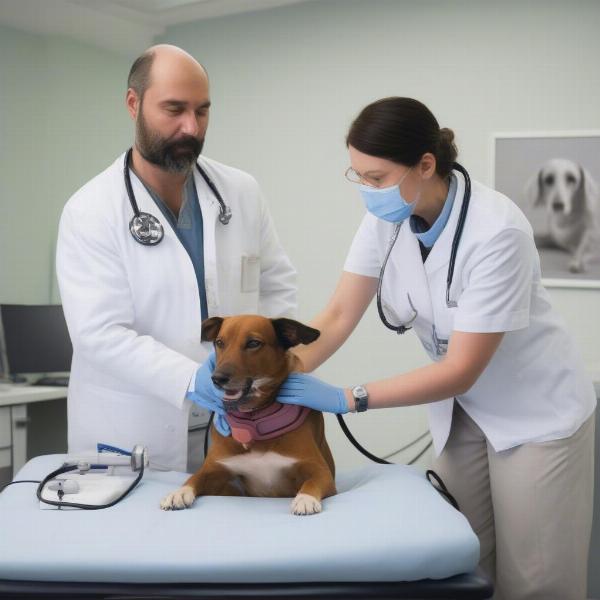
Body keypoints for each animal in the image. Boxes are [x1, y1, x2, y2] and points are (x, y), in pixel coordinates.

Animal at [161, 314, 338, 516]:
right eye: (219, 342)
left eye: (253, 343)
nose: (217, 378)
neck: (254, 419)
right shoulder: (215, 470)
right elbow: (194, 478)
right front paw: (179, 492)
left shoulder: (320, 471)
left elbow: (312, 481)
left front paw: (305, 498)